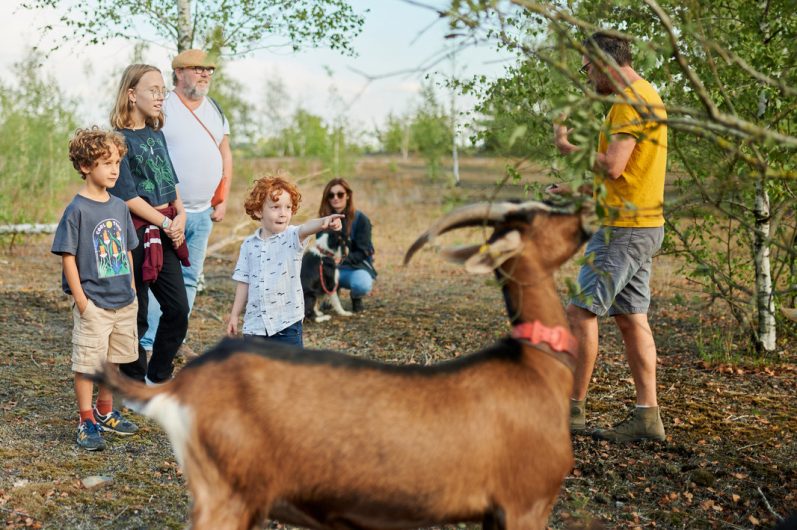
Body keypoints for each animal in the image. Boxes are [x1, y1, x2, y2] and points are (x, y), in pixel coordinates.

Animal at [98, 199, 592, 528]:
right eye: (540, 215)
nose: (584, 215)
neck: (533, 366)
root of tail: (181, 387)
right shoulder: (525, 503)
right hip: (225, 497)